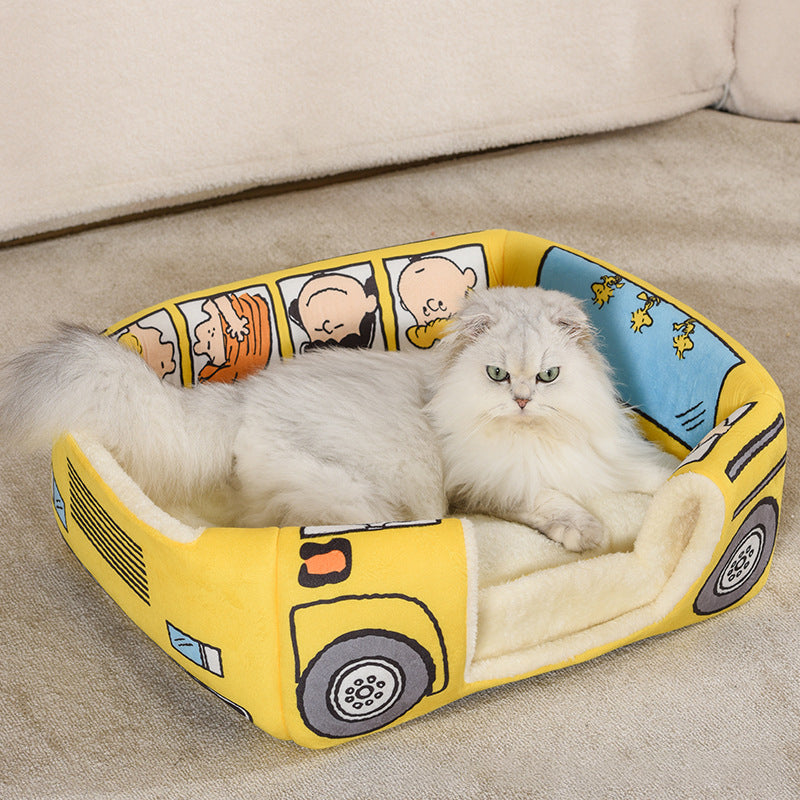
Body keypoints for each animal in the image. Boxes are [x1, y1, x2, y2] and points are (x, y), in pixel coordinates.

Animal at [0, 286, 676, 552]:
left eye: (548, 376)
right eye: (497, 376)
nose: (523, 402)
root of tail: (245, 398)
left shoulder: (608, 456)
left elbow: (654, 477)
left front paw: (682, 477)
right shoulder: (484, 489)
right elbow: (552, 504)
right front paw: (587, 533)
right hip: (358, 500)